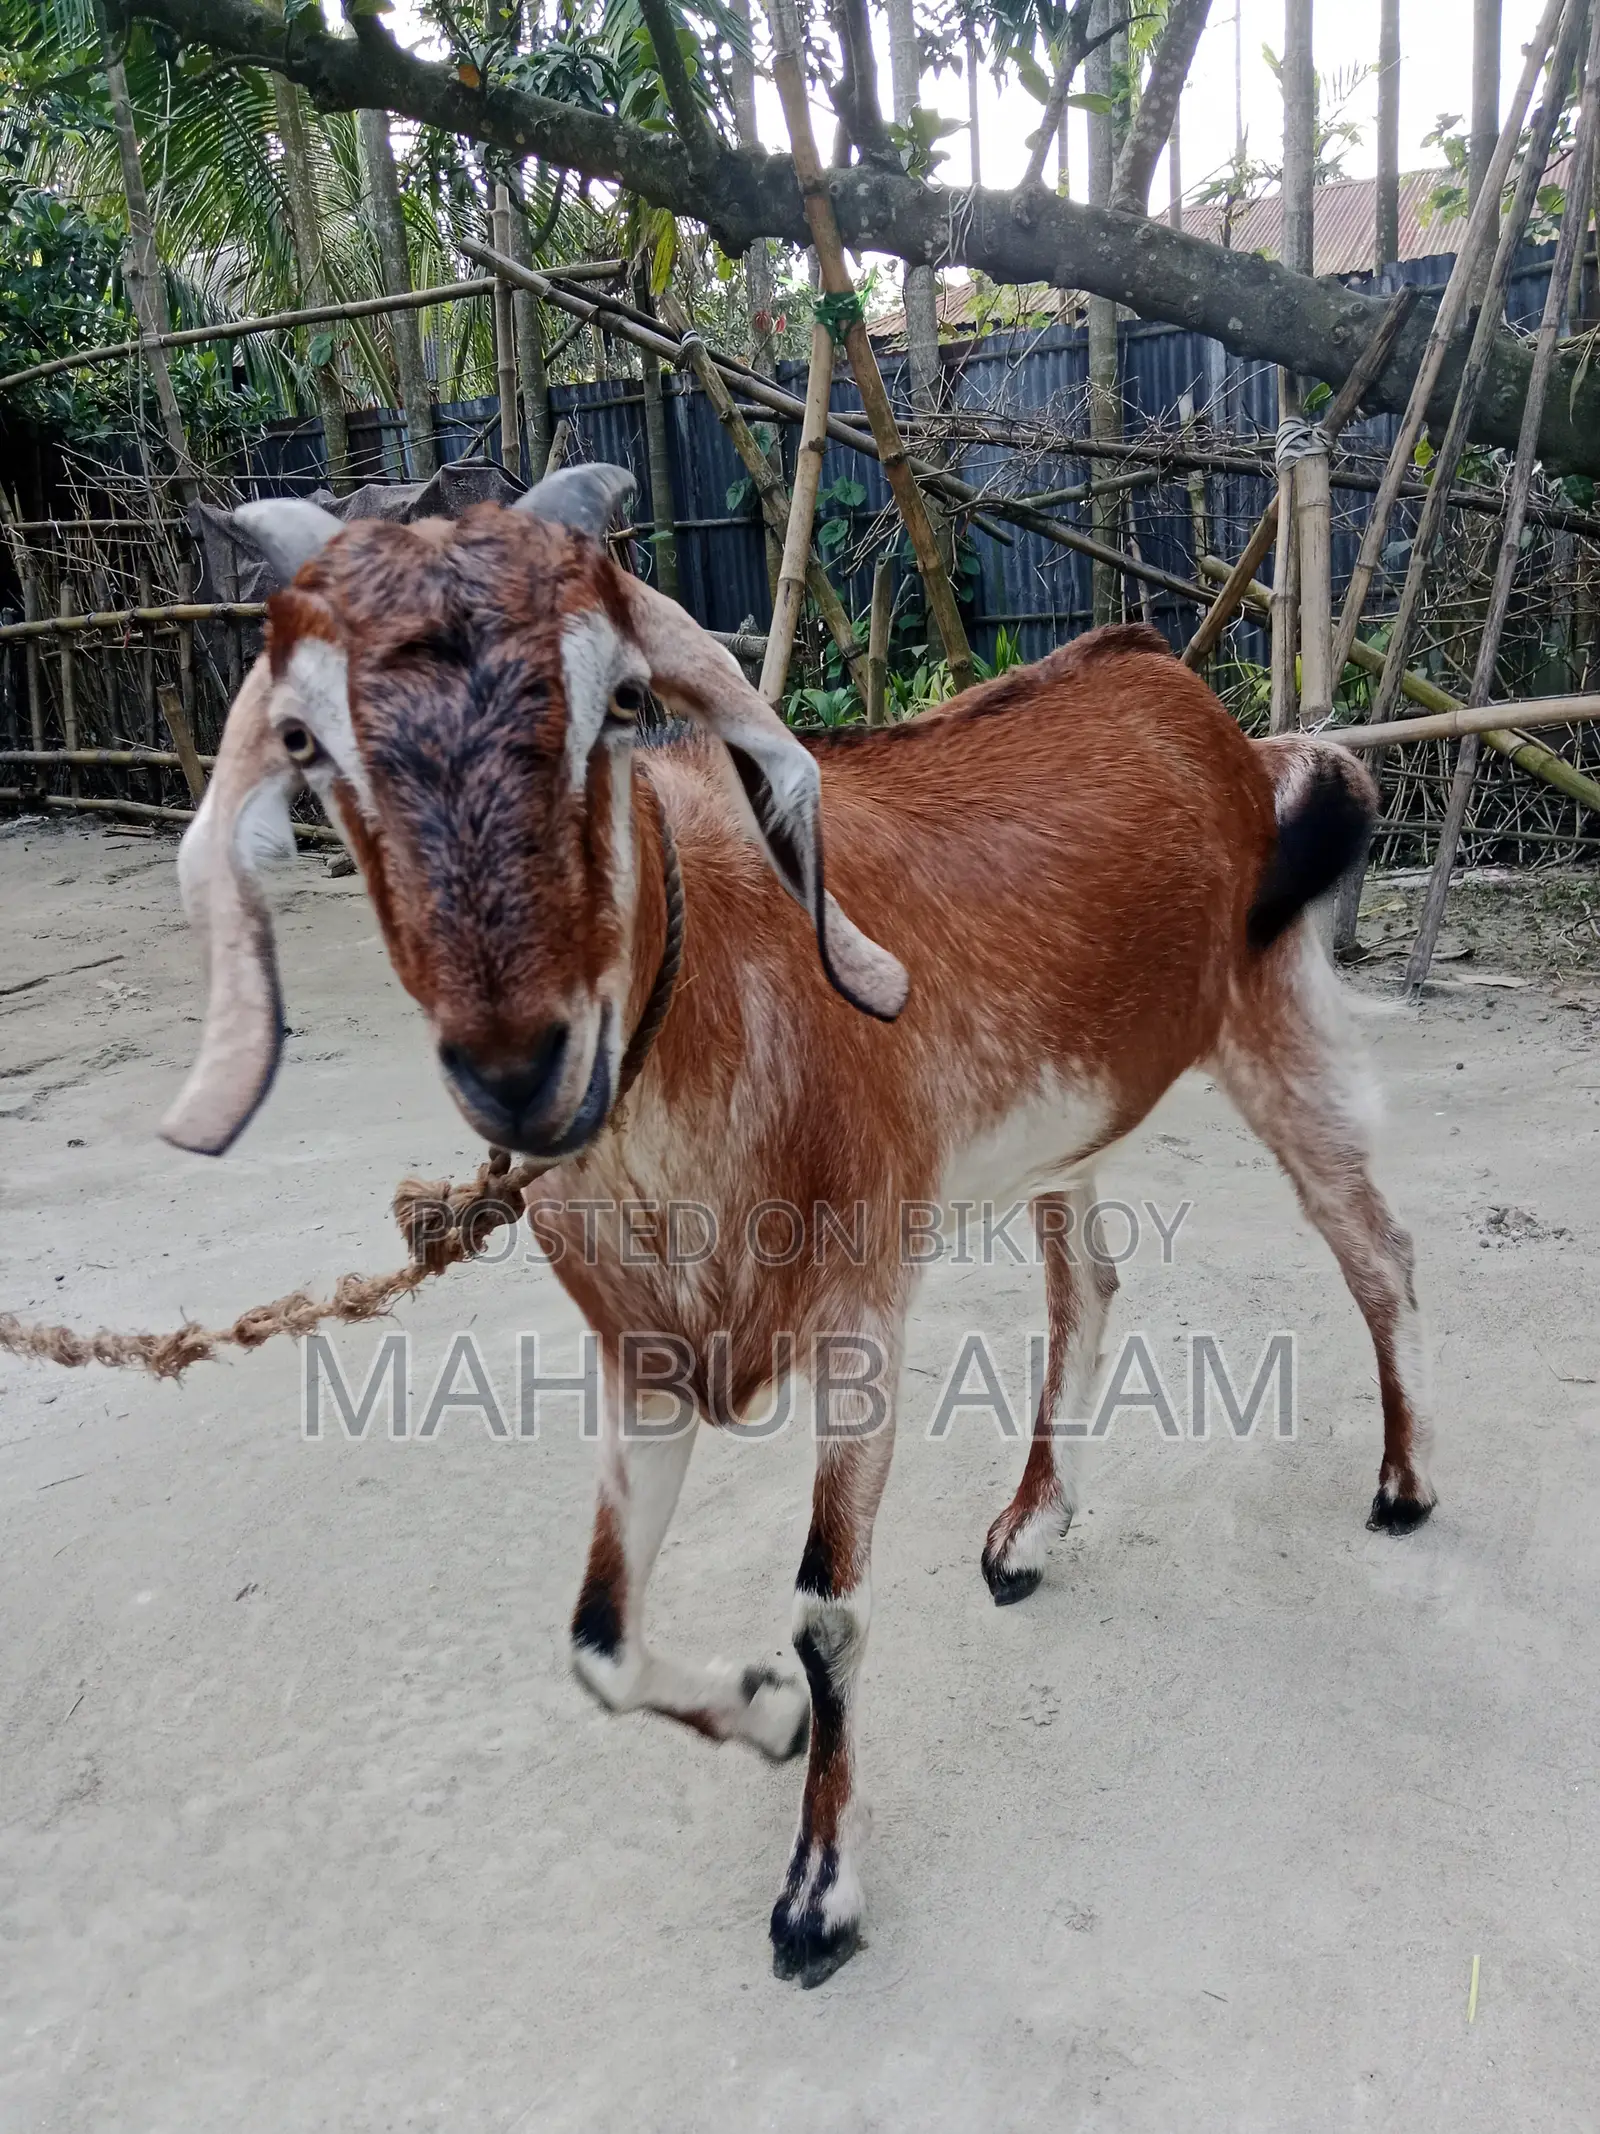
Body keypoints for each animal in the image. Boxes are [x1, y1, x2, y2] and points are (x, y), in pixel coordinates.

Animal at [162, 464, 1434, 1987]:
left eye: (621, 699)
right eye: (304, 737)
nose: (520, 1068)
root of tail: (1221, 725)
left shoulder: (861, 1316)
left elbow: (828, 1608)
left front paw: (818, 1895)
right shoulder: (644, 1359)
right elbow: (597, 1635)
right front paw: (761, 1717)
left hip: (1272, 1014)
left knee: (1370, 1243)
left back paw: (1403, 1485)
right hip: (1071, 1124)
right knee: (1089, 1288)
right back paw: (1026, 1531)